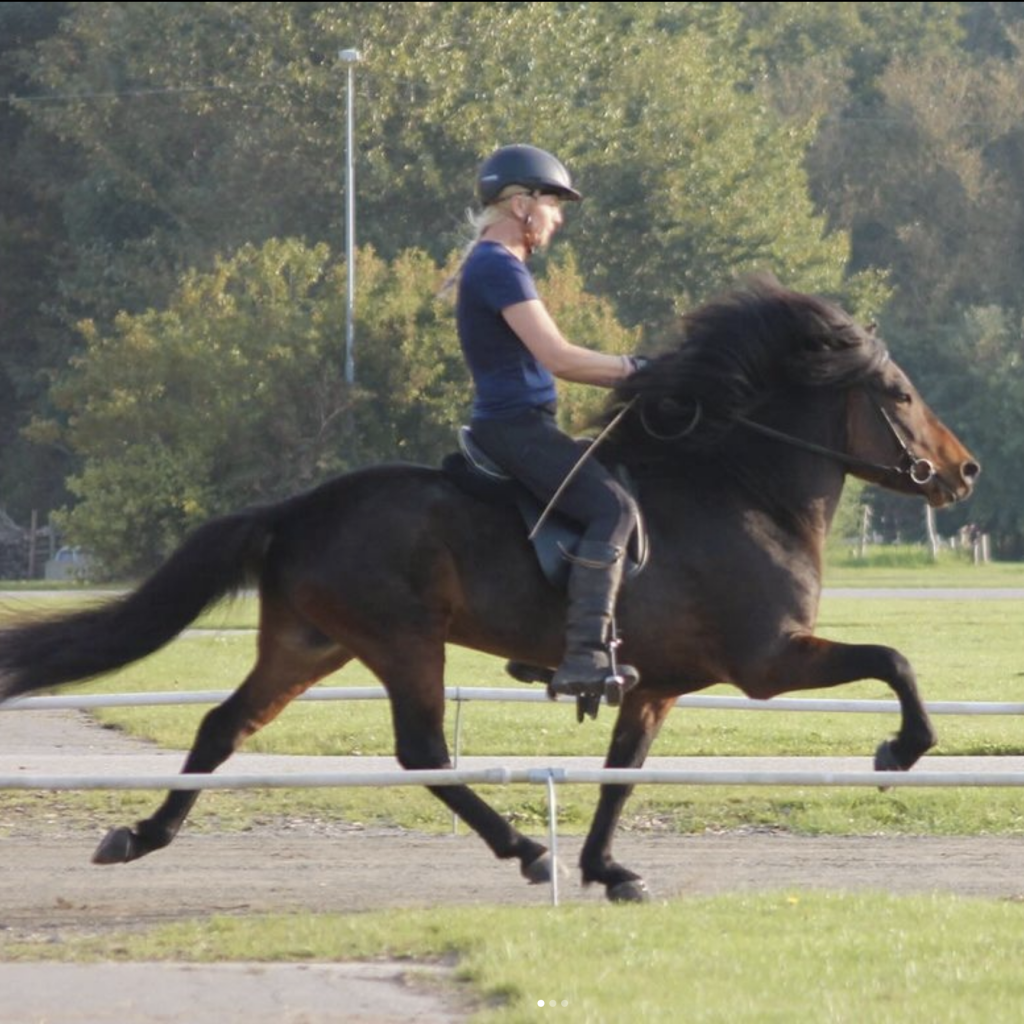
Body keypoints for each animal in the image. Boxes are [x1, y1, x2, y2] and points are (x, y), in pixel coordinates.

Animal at [0, 276, 974, 901]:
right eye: (900, 394)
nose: (962, 473)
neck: (741, 490)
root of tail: (300, 507)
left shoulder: (655, 685)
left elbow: (622, 775)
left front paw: (608, 870)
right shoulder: (770, 661)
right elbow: (894, 658)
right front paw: (902, 750)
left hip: (310, 644)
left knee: (221, 727)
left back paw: (139, 836)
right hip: (403, 642)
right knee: (423, 752)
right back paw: (524, 848)